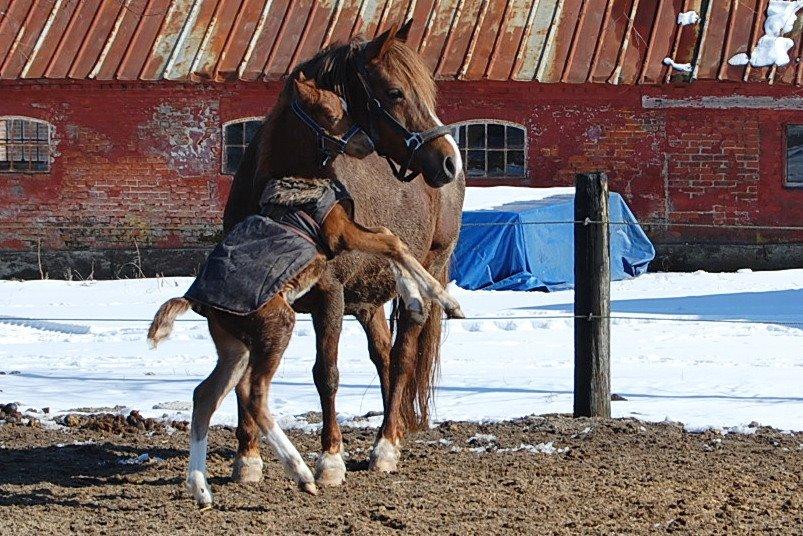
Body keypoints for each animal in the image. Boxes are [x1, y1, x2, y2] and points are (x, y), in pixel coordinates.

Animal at [148, 76, 464, 509]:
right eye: (331, 112)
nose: (365, 144)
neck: (295, 178)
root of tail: (197, 301)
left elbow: (391, 244)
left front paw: (417, 291)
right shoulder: (340, 234)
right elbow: (390, 239)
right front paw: (445, 299)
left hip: (235, 349)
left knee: (205, 396)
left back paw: (201, 487)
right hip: (276, 328)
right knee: (255, 395)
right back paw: (302, 473)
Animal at [222, 20, 465, 485]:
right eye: (394, 92)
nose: (448, 160)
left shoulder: (329, 297)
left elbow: (327, 374)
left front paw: (330, 458)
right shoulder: (251, 299)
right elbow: (247, 375)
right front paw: (248, 457)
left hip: (424, 276)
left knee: (403, 357)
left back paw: (385, 446)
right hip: (368, 302)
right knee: (385, 358)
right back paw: (393, 436)